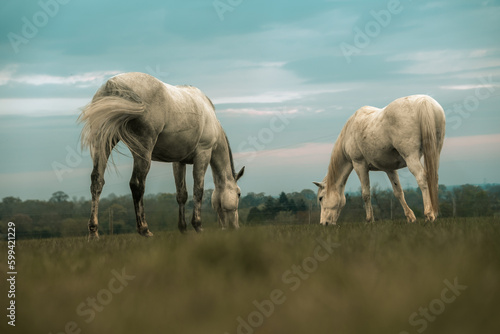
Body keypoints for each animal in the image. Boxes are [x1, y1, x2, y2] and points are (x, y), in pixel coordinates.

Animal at [79, 72, 245, 240]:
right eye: (238, 194)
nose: (235, 227)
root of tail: (114, 85)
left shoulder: (179, 162)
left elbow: (182, 194)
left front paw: (183, 228)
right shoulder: (203, 155)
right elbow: (198, 191)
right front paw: (198, 226)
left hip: (103, 144)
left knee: (97, 181)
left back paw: (93, 232)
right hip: (143, 150)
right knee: (137, 184)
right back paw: (144, 229)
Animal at [314, 95, 448, 226]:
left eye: (321, 198)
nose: (323, 223)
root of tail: (424, 101)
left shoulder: (359, 165)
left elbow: (365, 193)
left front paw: (369, 220)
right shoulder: (390, 169)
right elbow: (398, 192)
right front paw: (410, 217)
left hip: (411, 156)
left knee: (422, 178)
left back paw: (429, 214)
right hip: (435, 152)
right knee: (433, 178)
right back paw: (434, 213)